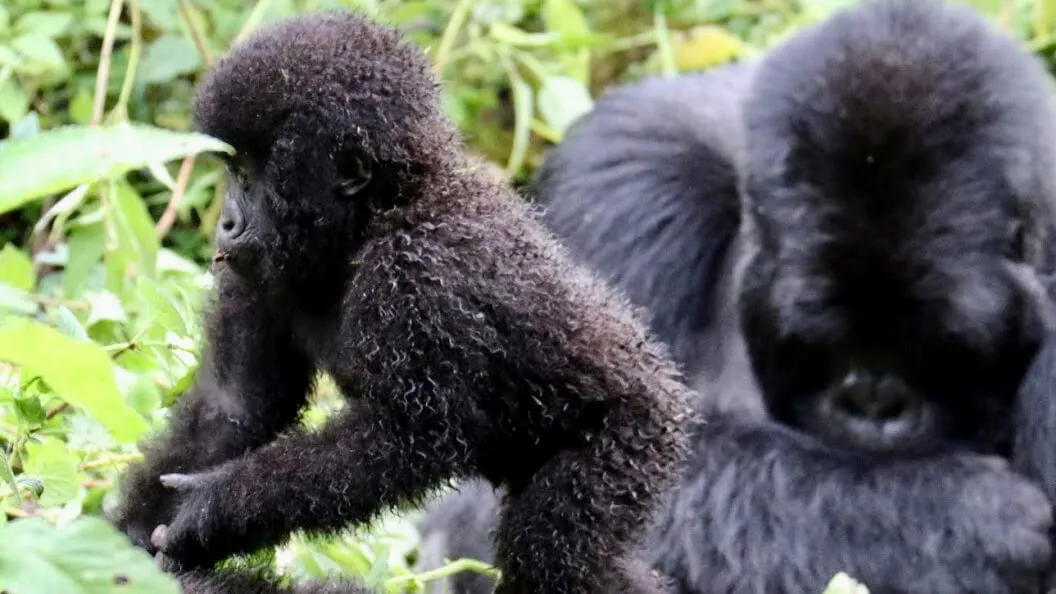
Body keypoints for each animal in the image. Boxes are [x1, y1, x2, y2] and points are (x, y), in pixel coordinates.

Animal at [106, 10, 695, 594]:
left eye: (249, 175)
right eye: (233, 170)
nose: (226, 223)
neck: (380, 213)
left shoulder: (419, 273)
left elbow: (405, 438)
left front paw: (215, 511)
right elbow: (235, 403)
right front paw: (123, 541)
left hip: (627, 439)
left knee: (558, 553)